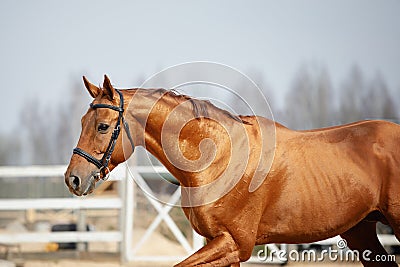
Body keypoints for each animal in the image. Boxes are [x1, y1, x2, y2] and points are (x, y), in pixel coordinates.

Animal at [65, 75, 400, 266]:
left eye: (102, 126)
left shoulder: (235, 243)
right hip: (360, 231)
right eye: (81, 122)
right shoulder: (220, 243)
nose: (73, 179)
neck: (216, 158)